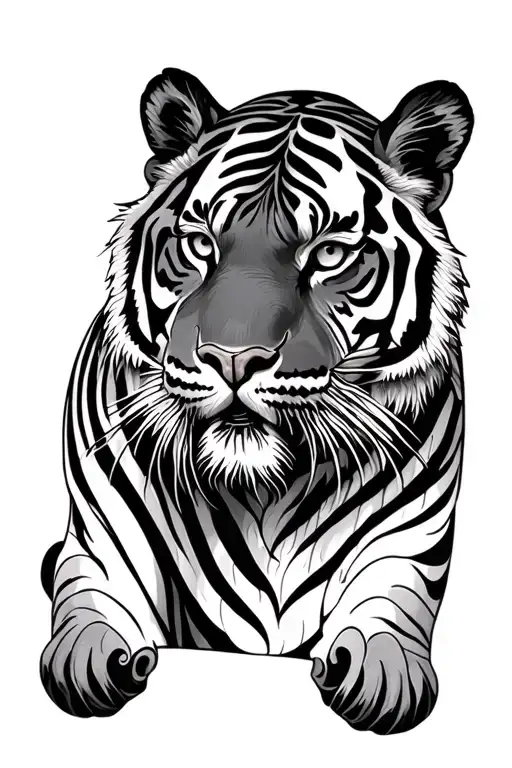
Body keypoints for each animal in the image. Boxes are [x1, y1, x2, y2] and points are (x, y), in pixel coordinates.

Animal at [40, 68, 473, 734]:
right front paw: (98, 662)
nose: (233, 358)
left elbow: (389, 604)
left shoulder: (407, 544)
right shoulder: (101, 544)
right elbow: (88, 608)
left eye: (329, 254)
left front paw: (378, 672)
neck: (261, 490)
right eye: (199, 245)